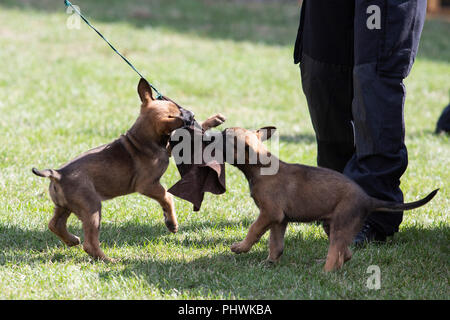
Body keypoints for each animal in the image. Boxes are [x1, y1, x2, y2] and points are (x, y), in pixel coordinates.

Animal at [32, 79, 225, 262]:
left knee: (54, 224)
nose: (192, 113)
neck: (142, 139)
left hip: (64, 205)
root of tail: (57, 174)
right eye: (181, 115)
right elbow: (167, 197)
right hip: (91, 207)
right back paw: (108, 259)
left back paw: (72, 240)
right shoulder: (148, 185)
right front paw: (171, 223)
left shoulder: (167, 151)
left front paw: (213, 120)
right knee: (89, 243)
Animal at [225, 126, 440, 272]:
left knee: (336, 253)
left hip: (340, 226)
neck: (260, 167)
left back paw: (324, 272)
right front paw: (270, 262)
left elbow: (254, 229)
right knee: (346, 253)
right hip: (336, 226)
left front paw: (241, 247)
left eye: (226, 137)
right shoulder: (279, 220)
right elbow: (275, 244)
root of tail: (368, 198)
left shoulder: (269, 213)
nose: (219, 130)